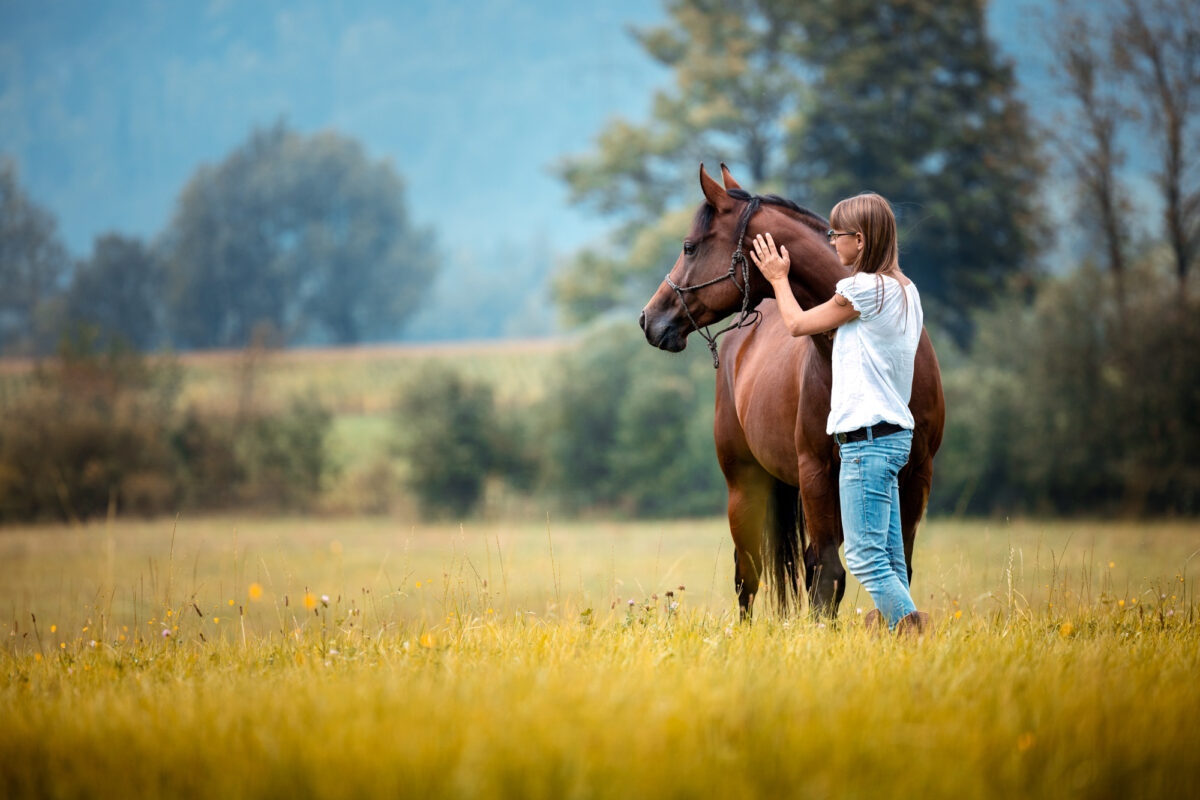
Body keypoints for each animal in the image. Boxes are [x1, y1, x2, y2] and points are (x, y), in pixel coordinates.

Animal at [639, 164, 945, 620]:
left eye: (689, 247)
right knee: (748, 574)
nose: (649, 318)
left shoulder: (915, 474)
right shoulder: (816, 473)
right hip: (745, 487)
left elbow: (893, 569)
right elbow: (829, 574)